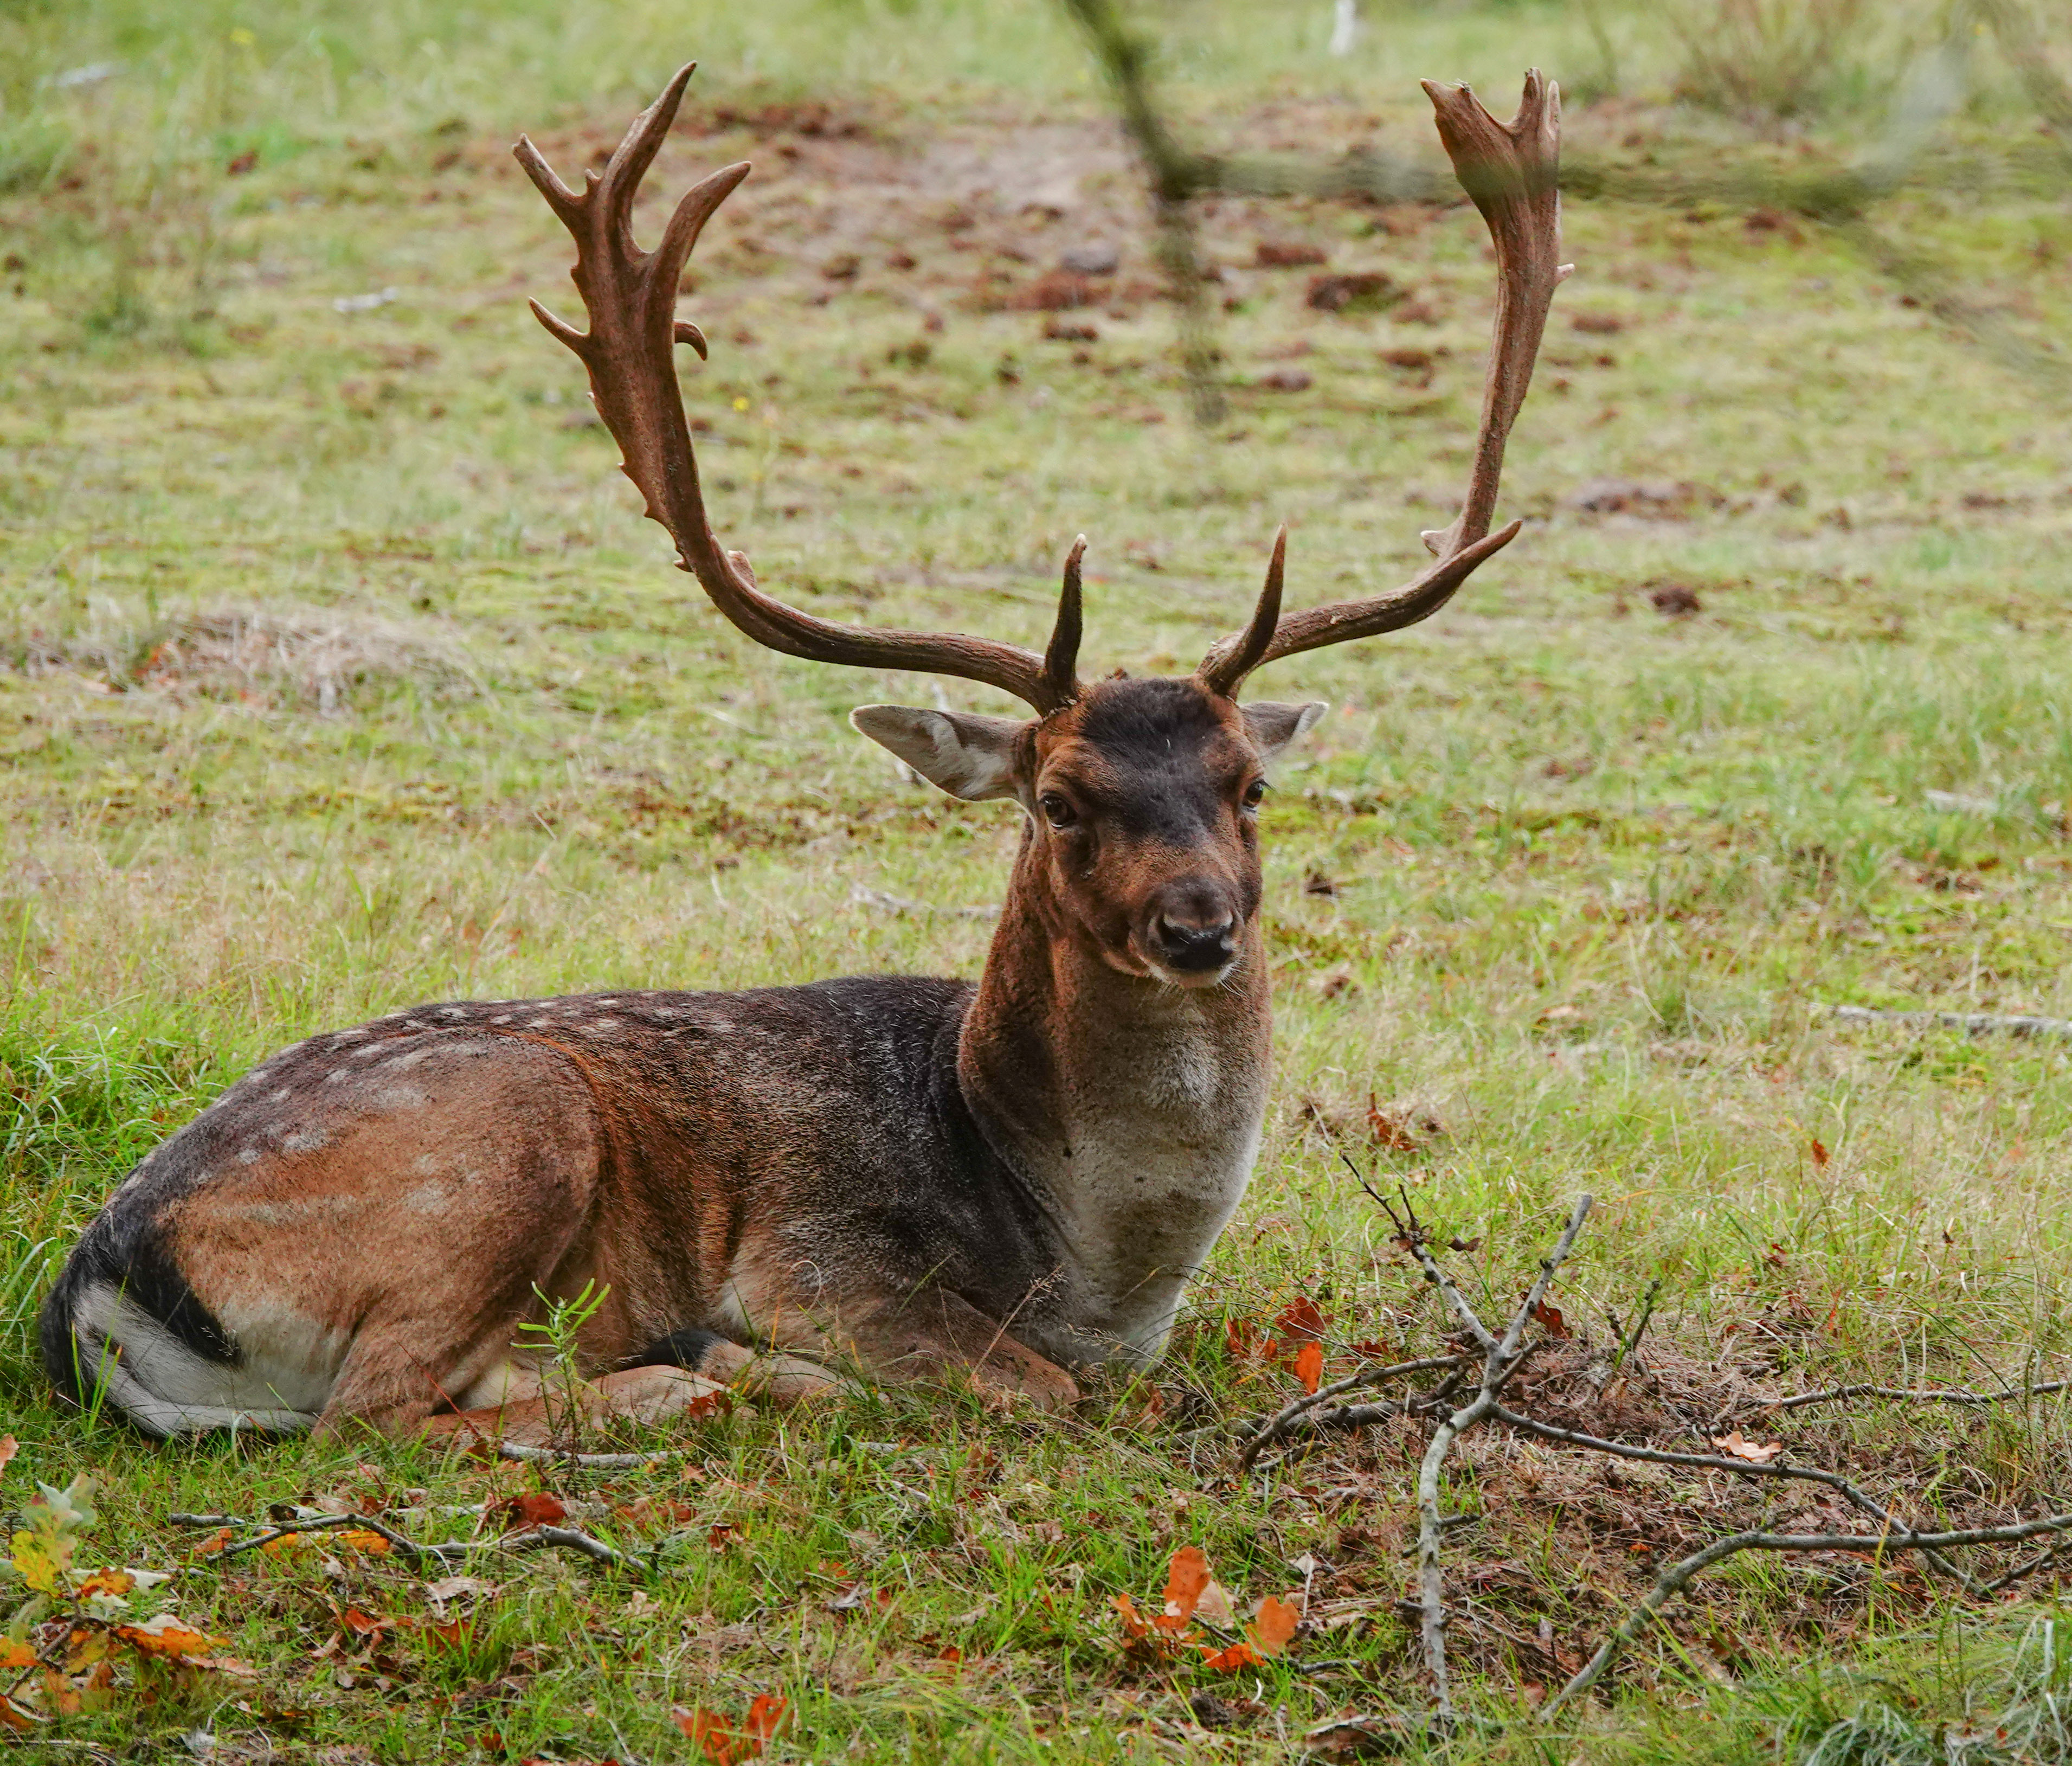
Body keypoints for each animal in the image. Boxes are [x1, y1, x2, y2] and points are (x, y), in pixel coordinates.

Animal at [39, 65, 1567, 1445]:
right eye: (1059, 800)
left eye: (1251, 784)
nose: (1200, 924)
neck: (1088, 1262)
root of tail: (90, 1296)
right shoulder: (820, 1253)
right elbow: (1044, 1390)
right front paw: (763, 1358)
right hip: (504, 1136)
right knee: (378, 1416)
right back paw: (683, 1377)